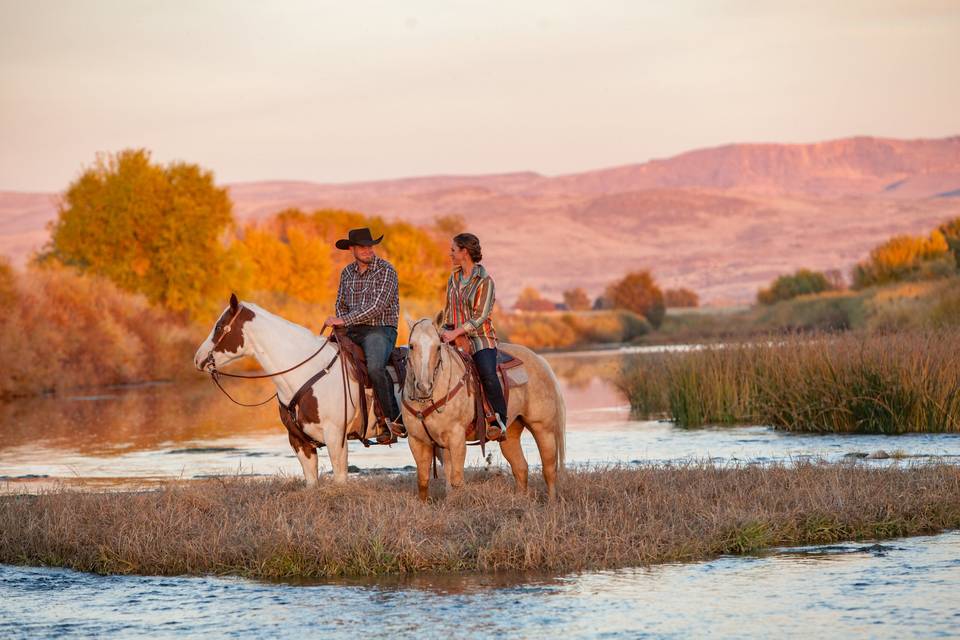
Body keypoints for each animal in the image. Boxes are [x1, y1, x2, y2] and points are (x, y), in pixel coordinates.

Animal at [193, 296, 392, 484]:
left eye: (219, 327)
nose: (197, 359)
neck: (307, 370)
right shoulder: (298, 441)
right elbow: (311, 482)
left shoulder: (336, 437)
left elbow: (340, 479)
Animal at [402, 318, 568, 502]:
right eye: (411, 346)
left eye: (438, 347)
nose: (424, 387)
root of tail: (540, 360)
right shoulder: (417, 440)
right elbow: (423, 480)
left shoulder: (456, 438)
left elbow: (456, 480)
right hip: (510, 434)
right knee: (521, 468)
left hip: (543, 428)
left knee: (549, 469)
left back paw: (551, 502)